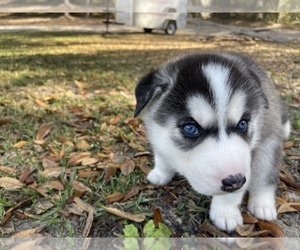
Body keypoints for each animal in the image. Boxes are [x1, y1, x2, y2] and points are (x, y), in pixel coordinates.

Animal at [135, 52, 290, 232]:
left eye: (242, 124)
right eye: (190, 128)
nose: (236, 181)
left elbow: (235, 193)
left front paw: (226, 213)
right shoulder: (158, 136)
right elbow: (162, 156)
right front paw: (160, 173)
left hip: (268, 142)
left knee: (265, 176)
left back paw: (262, 204)